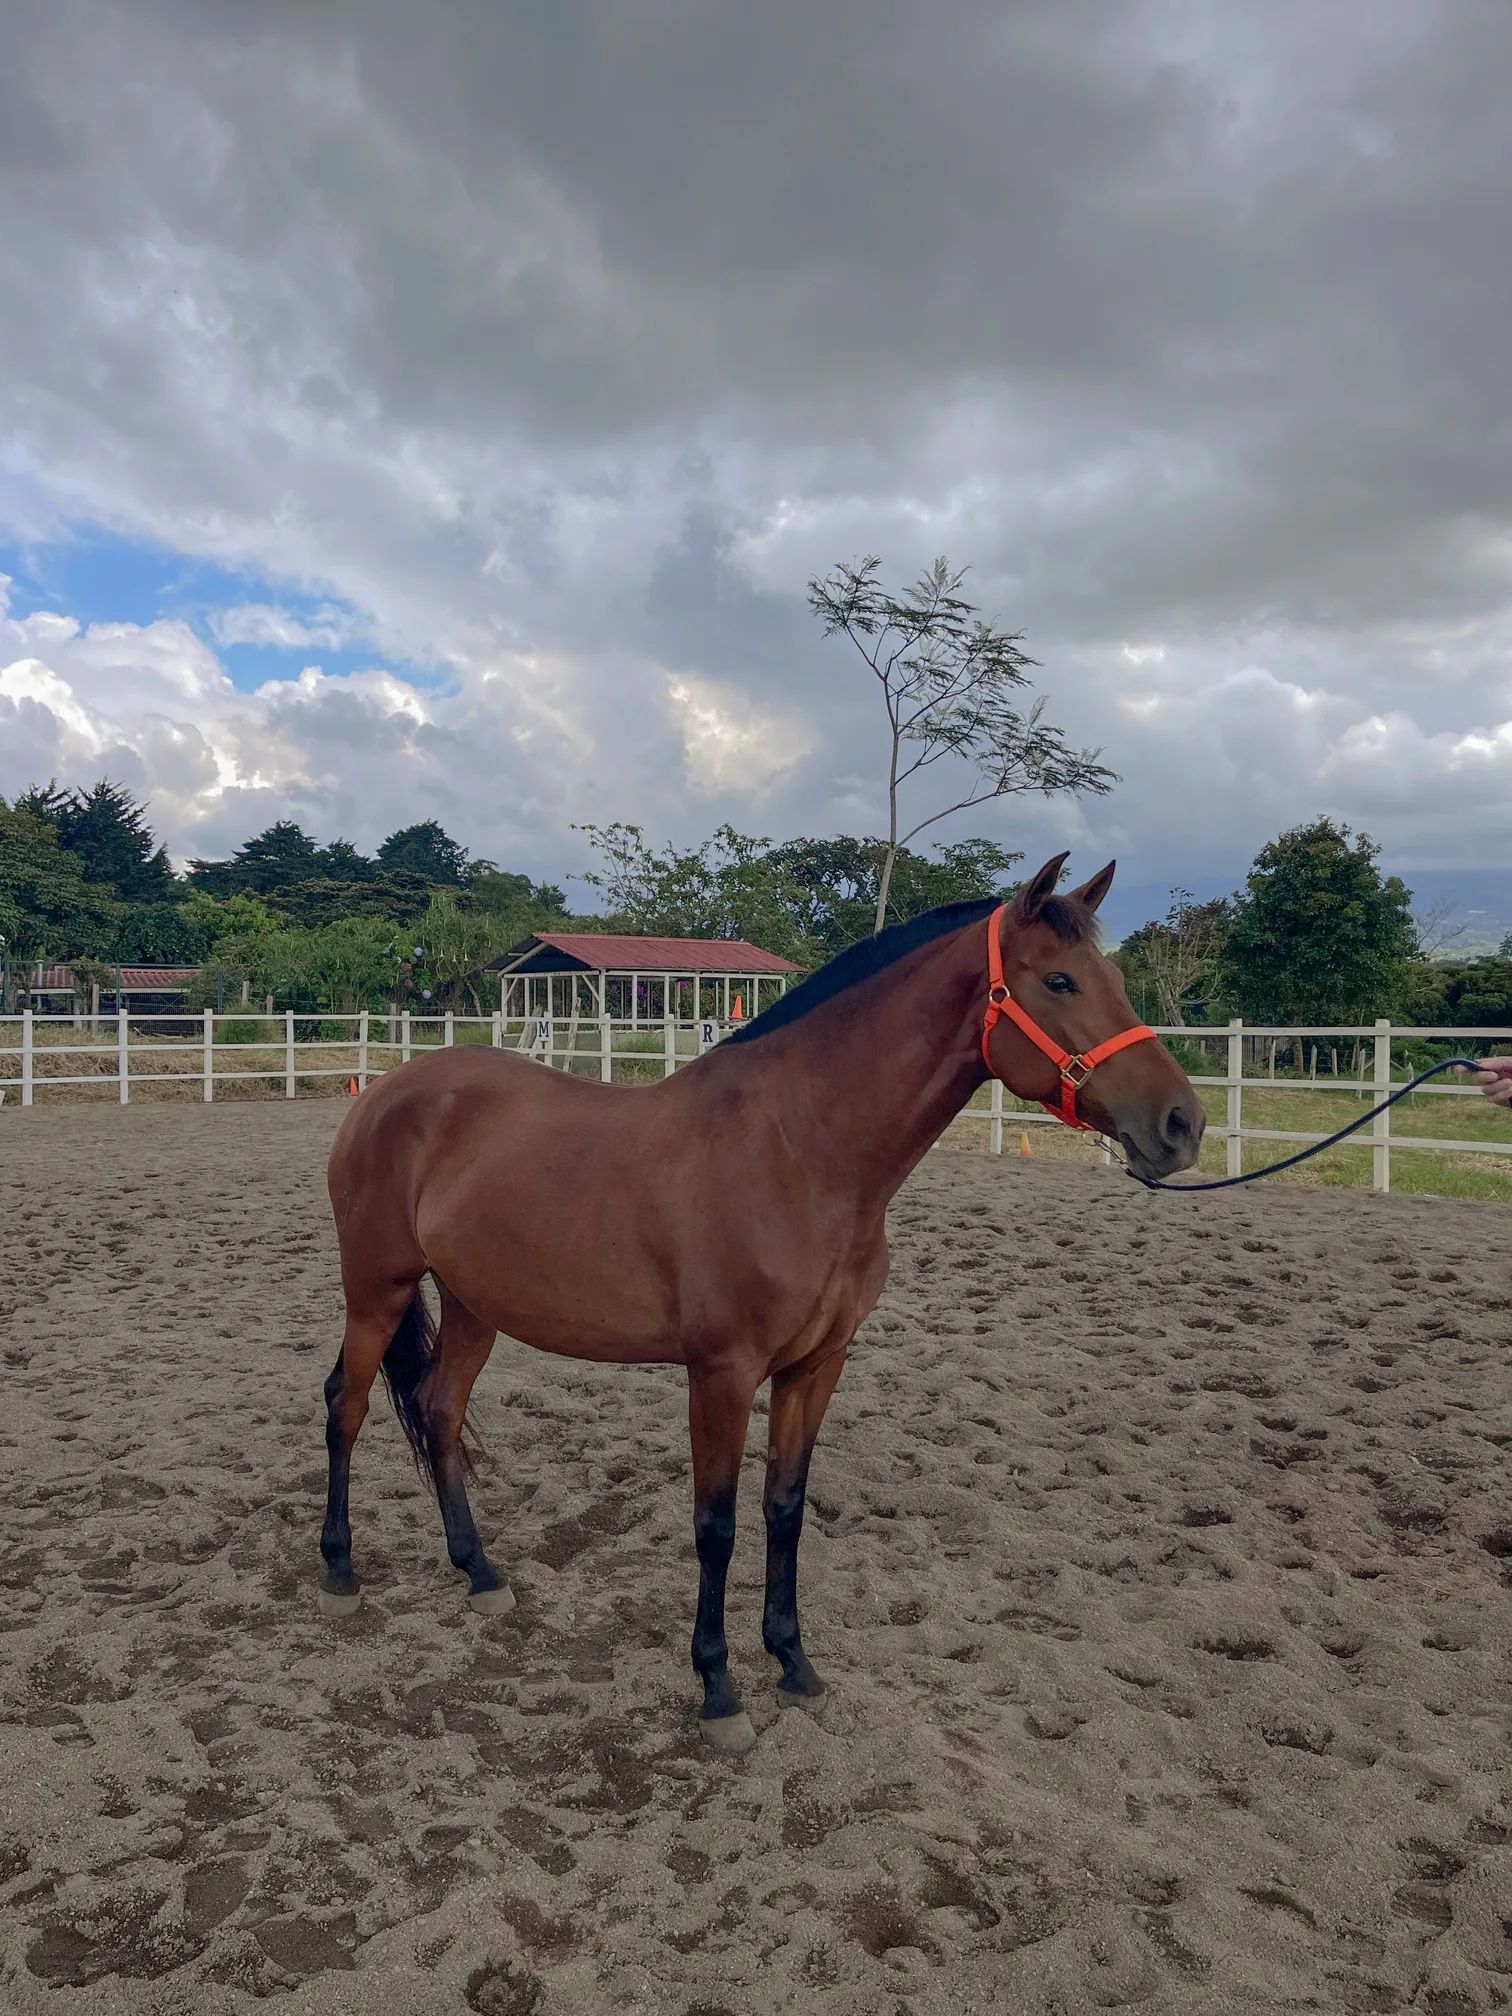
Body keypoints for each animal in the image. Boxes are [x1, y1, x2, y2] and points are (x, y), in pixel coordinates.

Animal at [320, 853, 1204, 1753]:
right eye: (1059, 980)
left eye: (1115, 977)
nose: (1183, 1123)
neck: (798, 1151)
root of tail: (390, 1090)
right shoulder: (722, 1373)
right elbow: (717, 1527)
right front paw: (718, 1690)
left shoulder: (815, 1367)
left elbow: (785, 1508)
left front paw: (792, 1661)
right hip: (378, 1289)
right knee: (346, 1405)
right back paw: (341, 1569)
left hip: (474, 1305)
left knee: (439, 1409)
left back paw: (481, 1572)